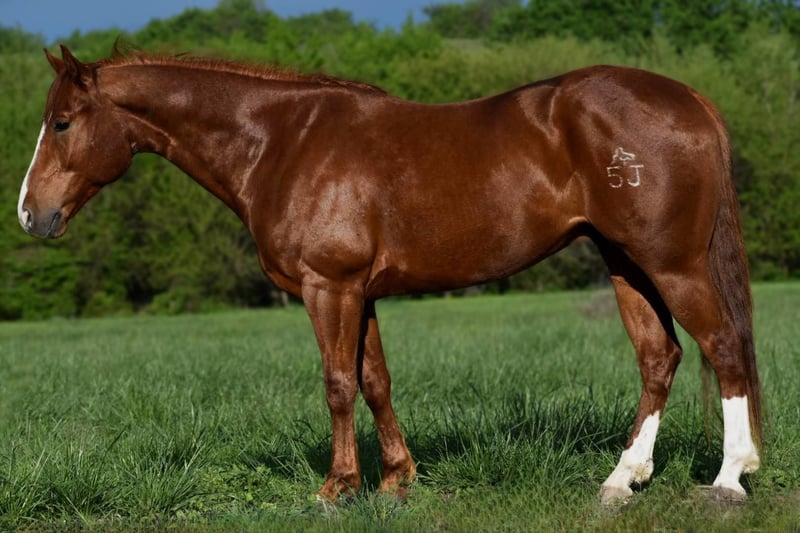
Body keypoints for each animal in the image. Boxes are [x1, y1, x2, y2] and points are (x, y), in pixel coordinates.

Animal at [17, 45, 762, 505]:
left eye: (62, 123)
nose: (30, 214)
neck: (281, 141)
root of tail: (690, 99)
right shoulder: (362, 293)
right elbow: (376, 381)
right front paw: (395, 481)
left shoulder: (329, 287)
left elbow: (338, 385)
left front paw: (336, 488)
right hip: (626, 263)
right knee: (659, 356)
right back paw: (620, 479)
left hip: (672, 264)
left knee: (723, 347)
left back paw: (730, 478)